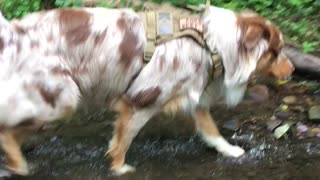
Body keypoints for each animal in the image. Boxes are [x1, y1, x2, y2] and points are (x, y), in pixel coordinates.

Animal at [0, 3, 292, 176]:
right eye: (277, 52)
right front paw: (119, 168)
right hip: (62, 98)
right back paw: (19, 165)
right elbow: (123, 139)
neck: (213, 46)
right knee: (6, 129)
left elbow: (211, 131)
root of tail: (14, 32)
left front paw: (231, 151)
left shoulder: (193, 96)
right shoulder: (143, 99)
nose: (291, 70)